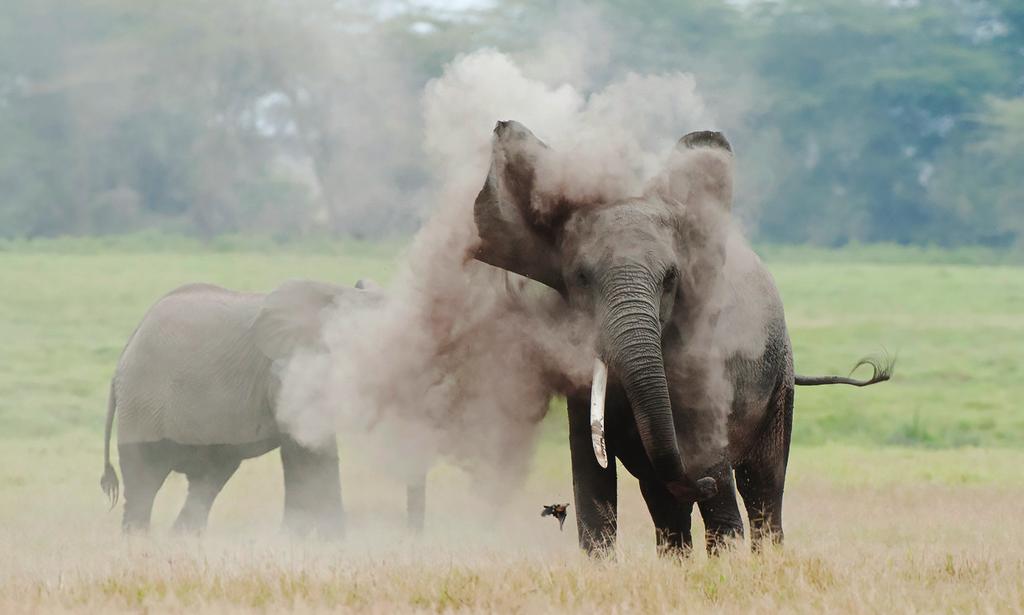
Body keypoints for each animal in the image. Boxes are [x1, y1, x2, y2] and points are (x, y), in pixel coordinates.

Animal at [99, 276, 428, 532]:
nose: (411, 537)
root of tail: (123, 356)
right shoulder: (288, 372)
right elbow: (307, 451)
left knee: (207, 482)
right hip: (144, 404)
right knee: (144, 483)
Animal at [468, 122, 892, 552]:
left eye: (671, 278)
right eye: (581, 279)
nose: (701, 481)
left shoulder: (706, 359)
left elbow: (712, 471)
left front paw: (725, 556)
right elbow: (592, 477)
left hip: (779, 384)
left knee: (763, 487)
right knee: (666, 503)